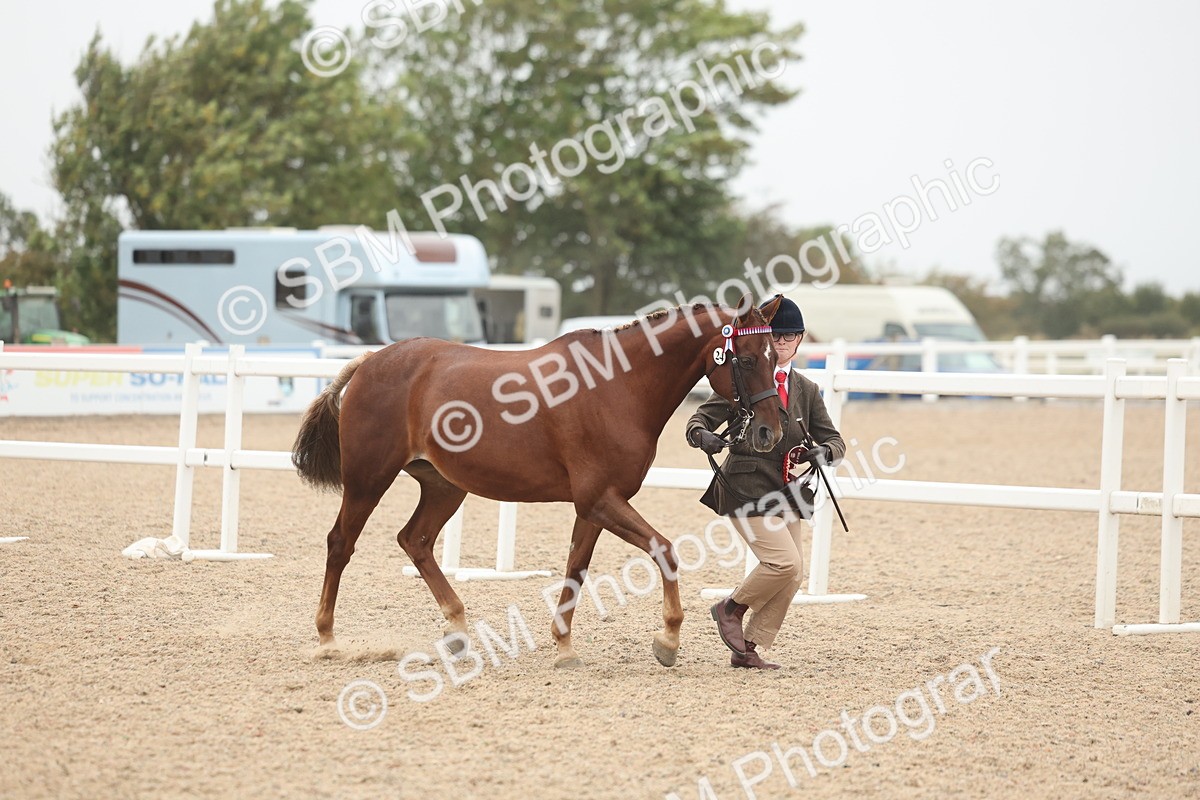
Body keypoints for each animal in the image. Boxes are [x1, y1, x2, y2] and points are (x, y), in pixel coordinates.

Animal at [291, 294, 786, 667]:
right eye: (745, 360)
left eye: (774, 357)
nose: (769, 432)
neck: (617, 389)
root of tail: (369, 361)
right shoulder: (600, 500)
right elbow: (663, 551)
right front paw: (667, 641)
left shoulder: (594, 506)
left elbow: (576, 569)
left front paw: (564, 647)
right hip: (368, 479)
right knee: (341, 543)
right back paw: (327, 639)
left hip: (444, 486)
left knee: (416, 540)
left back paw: (457, 629)